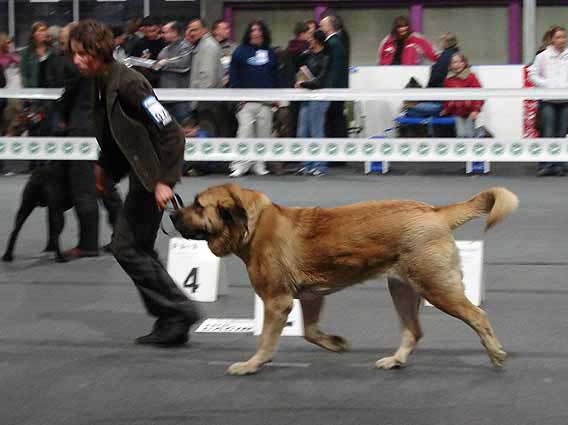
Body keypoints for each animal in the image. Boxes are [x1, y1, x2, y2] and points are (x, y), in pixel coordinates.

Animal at [172, 183, 520, 374]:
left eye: (198, 206)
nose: (173, 212)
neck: (252, 227)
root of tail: (435, 212)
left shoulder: (276, 301)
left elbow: (267, 338)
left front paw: (253, 363)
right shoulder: (310, 297)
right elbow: (310, 331)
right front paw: (336, 343)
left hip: (437, 287)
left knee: (477, 315)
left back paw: (496, 353)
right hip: (402, 289)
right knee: (414, 331)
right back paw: (396, 360)